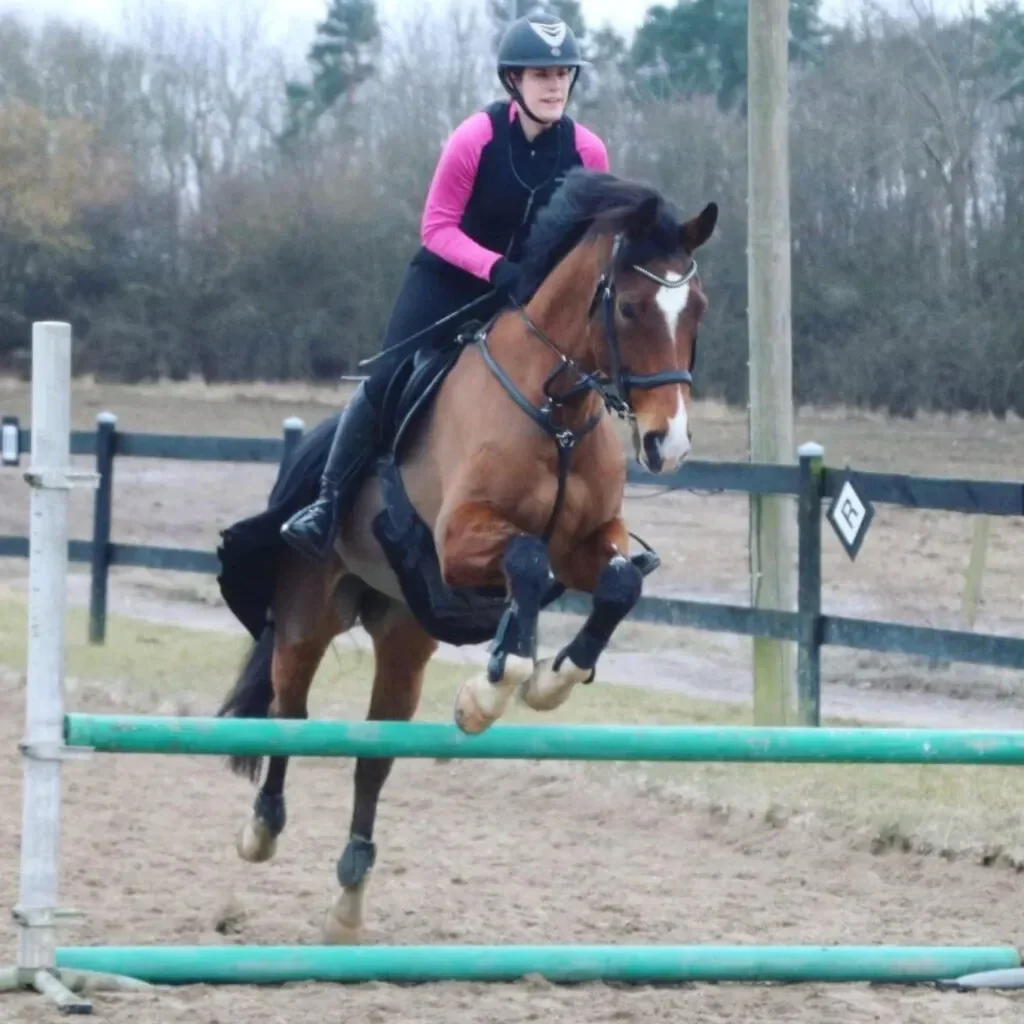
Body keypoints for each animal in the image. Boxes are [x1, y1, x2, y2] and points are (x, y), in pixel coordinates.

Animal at [214, 167, 717, 944]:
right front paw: (495, 687)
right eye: (631, 308)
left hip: (404, 634)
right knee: (290, 711)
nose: (671, 444)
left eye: (697, 309)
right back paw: (262, 829)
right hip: (306, 616)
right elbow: (528, 563)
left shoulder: (587, 542)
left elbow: (614, 585)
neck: (556, 409)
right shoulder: (459, 541)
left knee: (374, 755)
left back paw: (349, 901)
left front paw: (550, 678)